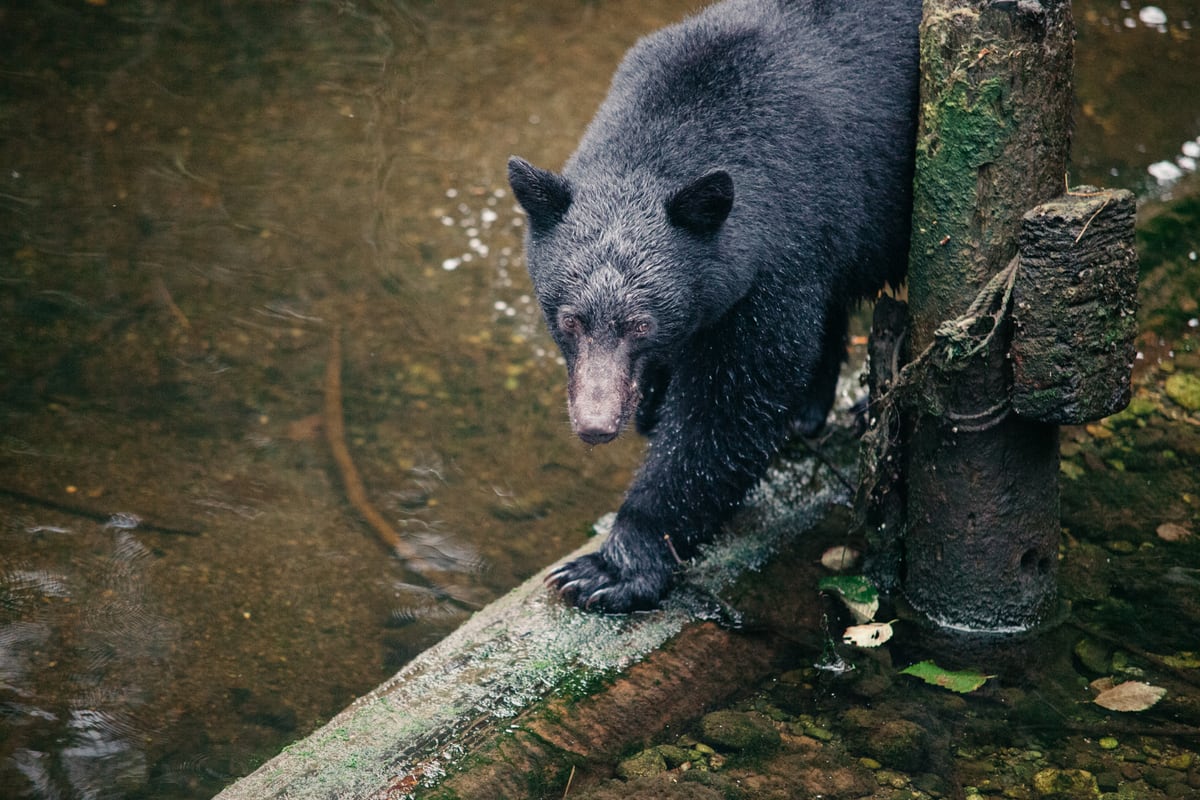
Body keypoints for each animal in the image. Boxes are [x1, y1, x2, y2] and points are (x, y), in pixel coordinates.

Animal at [508, 0, 920, 613]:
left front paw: (609, 567)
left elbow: (731, 399)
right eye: (570, 321)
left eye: (641, 325)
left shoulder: (783, 247)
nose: (595, 425)